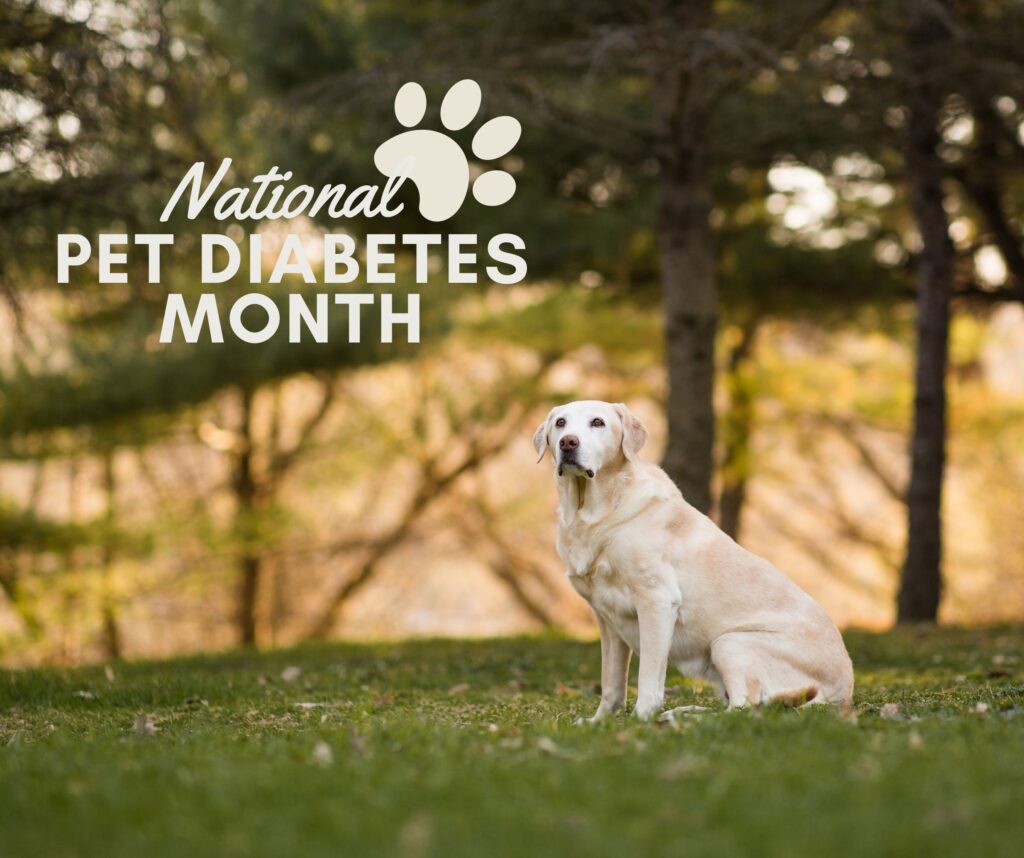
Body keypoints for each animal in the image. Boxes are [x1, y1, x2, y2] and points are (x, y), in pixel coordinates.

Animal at [532, 399, 851, 720]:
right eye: (560, 423)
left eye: (597, 422)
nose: (568, 443)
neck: (595, 513)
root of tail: (844, 689)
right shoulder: (606, 618)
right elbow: (611, 682)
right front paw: (600, 721)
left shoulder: (657, 601)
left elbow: (648, 677)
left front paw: (642, 718)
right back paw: (685, 711)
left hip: (729, 641)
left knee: (744, 707)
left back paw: (682, 716)